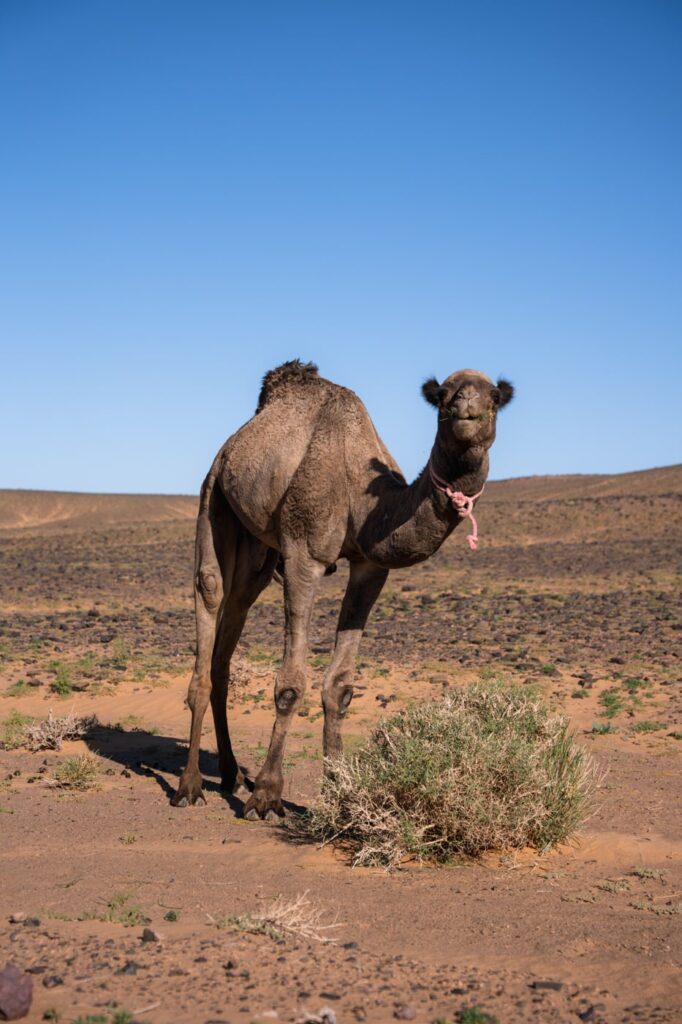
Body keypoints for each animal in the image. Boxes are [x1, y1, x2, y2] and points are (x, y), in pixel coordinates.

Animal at [173, 360, 512, 815]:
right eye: (443, 396)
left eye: (495, 397)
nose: (467, 410)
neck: (365, 501)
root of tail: (233, 445)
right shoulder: (304, 555)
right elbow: (291, 684)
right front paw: (267, 795)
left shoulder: (371, 567)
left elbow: (339, 685)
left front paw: (340, 793)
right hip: (214, 494)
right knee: (210, 591)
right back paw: (190, 784)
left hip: (257, 544)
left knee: (238, 610)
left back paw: (231, 773)